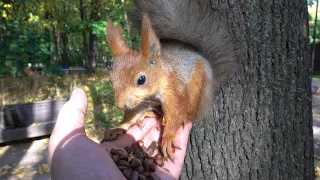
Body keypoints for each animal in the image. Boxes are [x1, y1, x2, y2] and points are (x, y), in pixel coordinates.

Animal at [102, 0, 235, 160]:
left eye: (141, 79)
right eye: (111, 79)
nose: (120, 105)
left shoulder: (173, 89)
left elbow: (175, 111)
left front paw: (168, 137)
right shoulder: (143, 99)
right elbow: (133, 113)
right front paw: (118, 127)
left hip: (197, 88)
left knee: (191, 113)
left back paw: (183, 117)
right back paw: (150, 114)